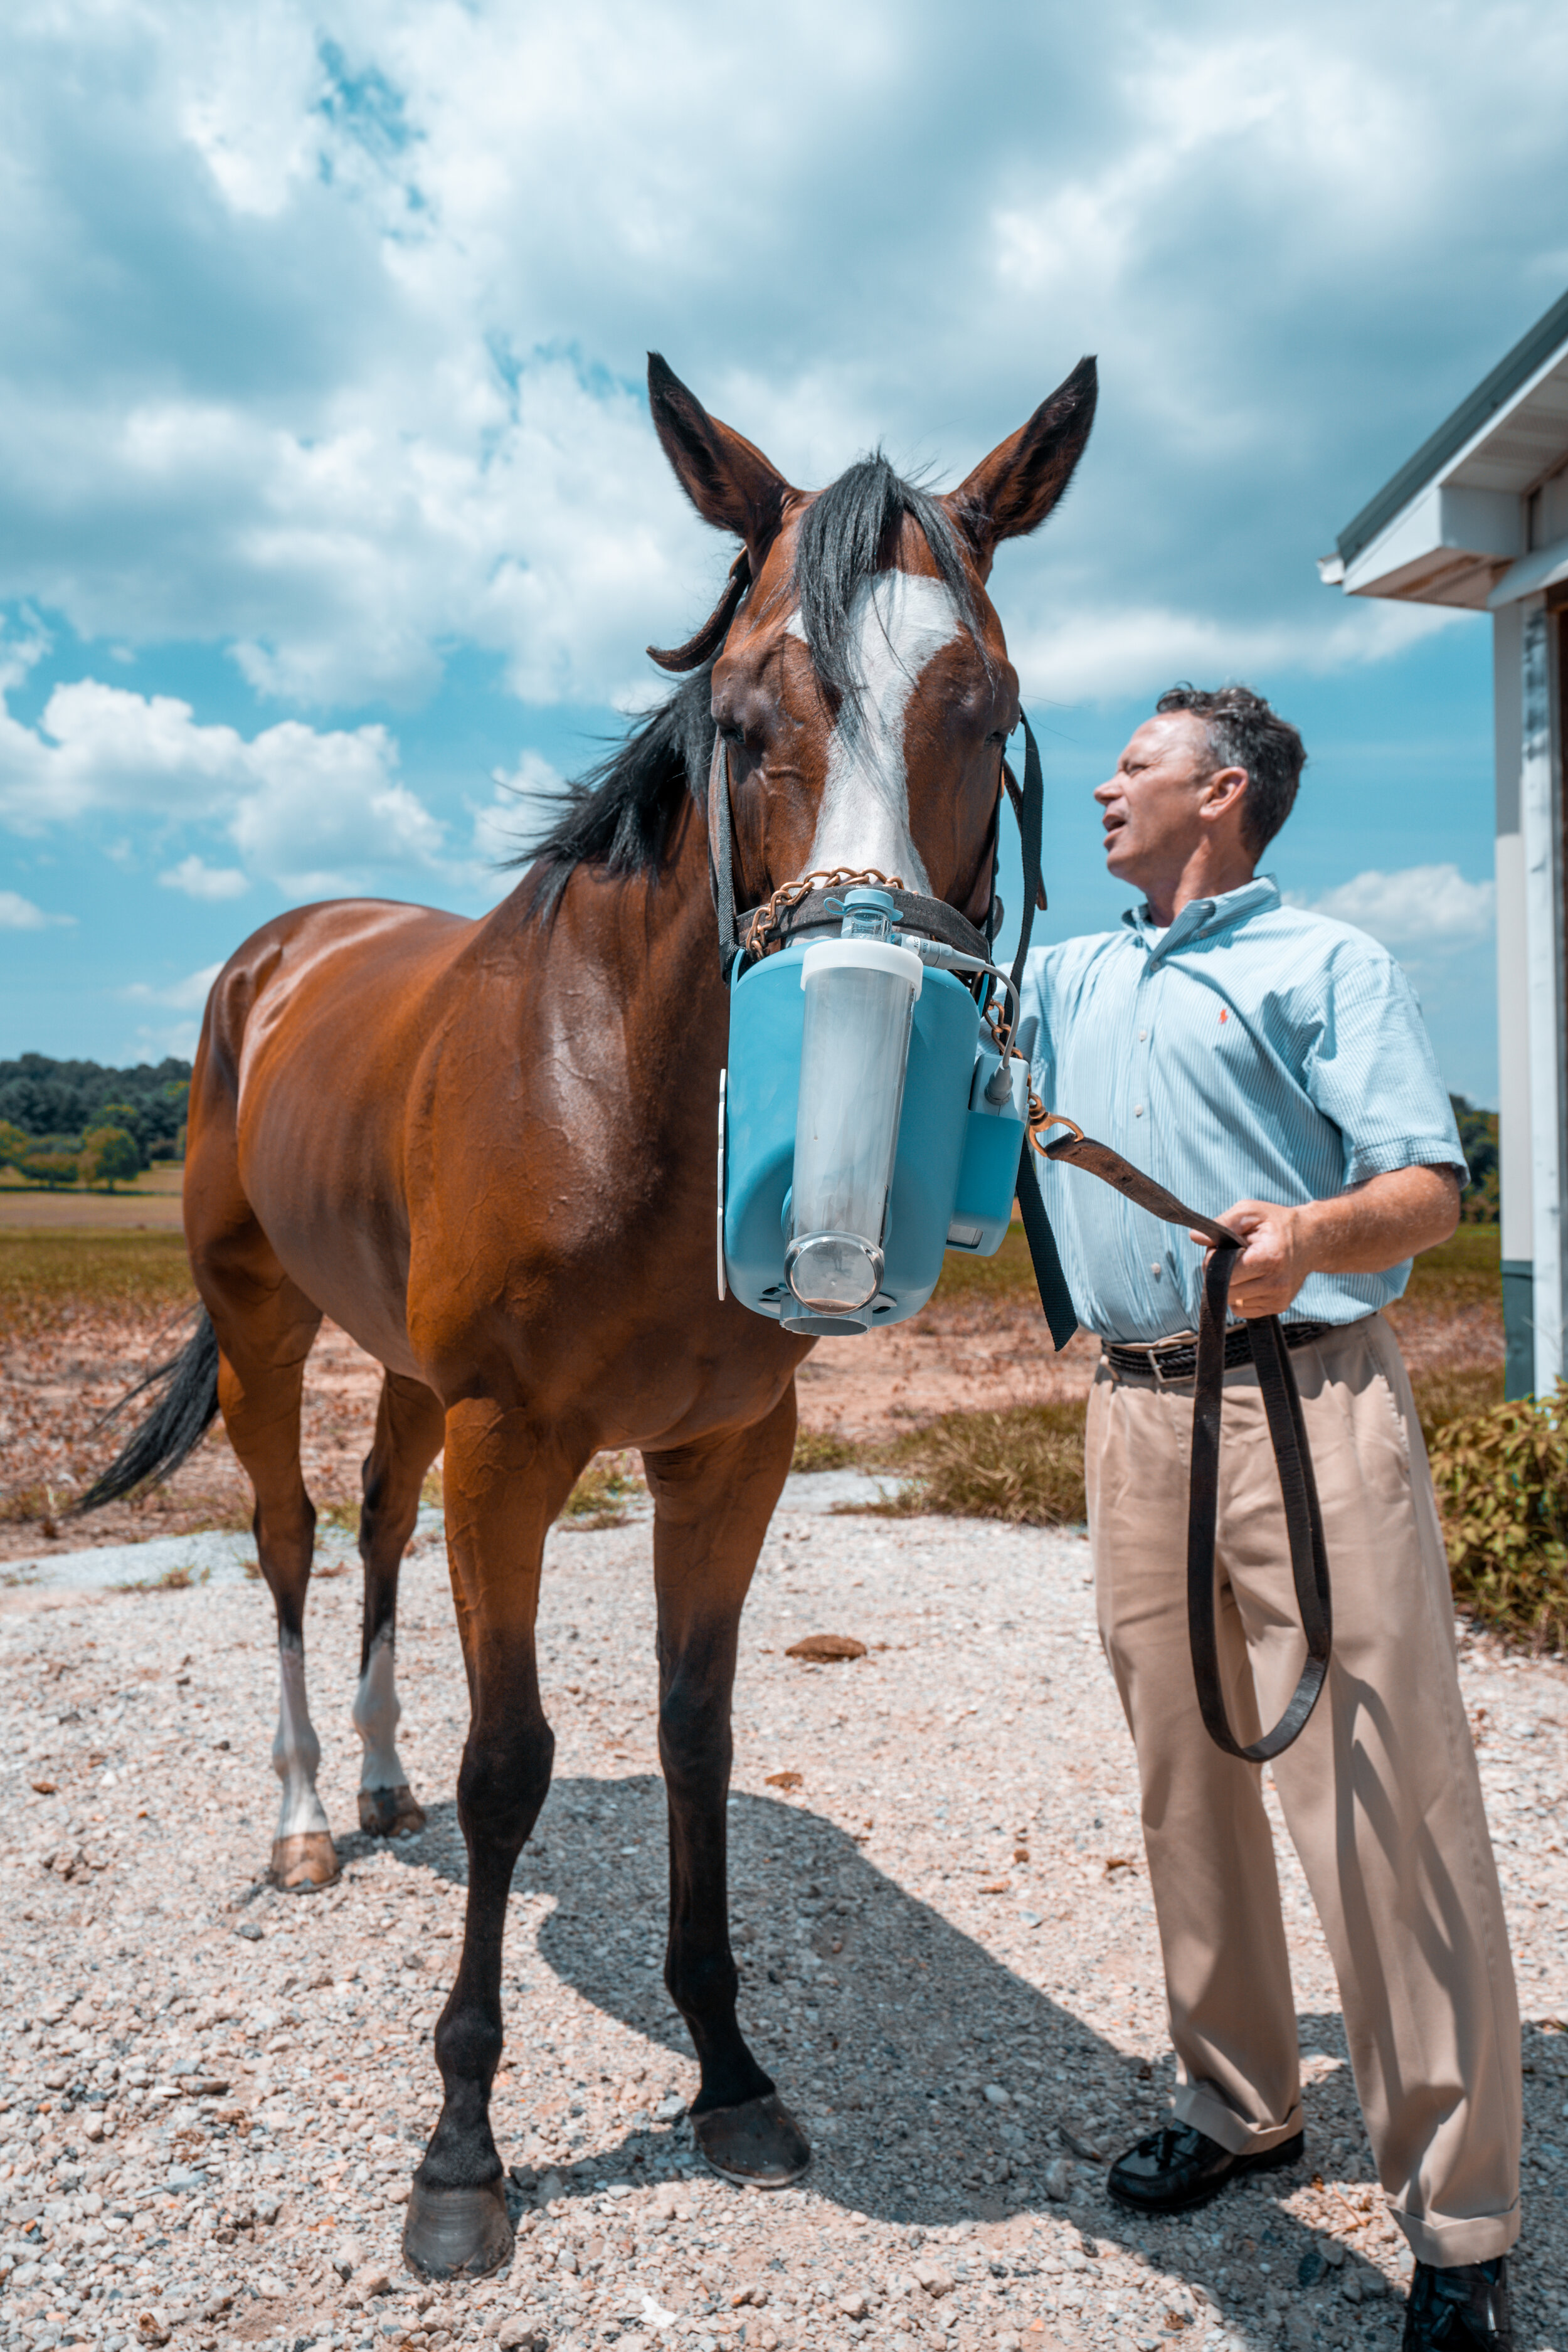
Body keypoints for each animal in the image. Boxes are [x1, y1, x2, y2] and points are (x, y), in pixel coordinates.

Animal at [80, 358, 1100, 2286]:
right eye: (742, 712)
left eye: (989, 705)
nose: (849, 1146)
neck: (615, 1082)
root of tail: (281, 952)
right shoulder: (516, 1439)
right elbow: (513, 1763)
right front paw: (460, 2151)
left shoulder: (728, 1448)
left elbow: (696, 1733)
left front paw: (729, 2069)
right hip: (263, 1324)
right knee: (289, 1537)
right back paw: (308, 1816)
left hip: (405, 1368)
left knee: (378, 1528)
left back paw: (373, 1782)